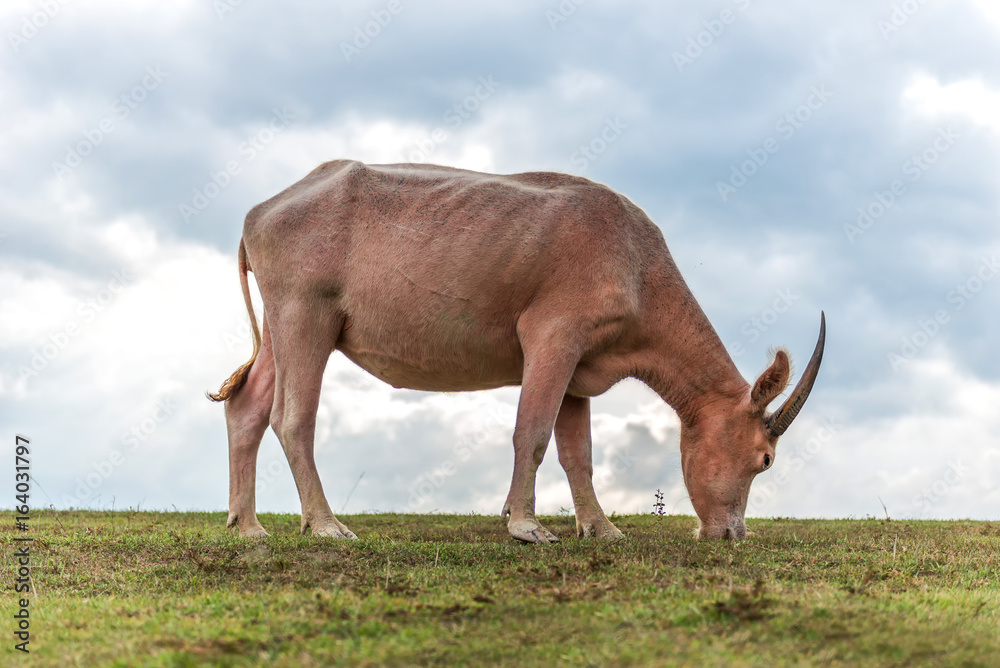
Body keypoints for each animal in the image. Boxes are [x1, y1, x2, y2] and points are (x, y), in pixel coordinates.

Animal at [207, 160, 824, 544]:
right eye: (765, 459)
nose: (731, 534)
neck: (635, 260)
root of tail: (263, 211)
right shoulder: (554, 335)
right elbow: (533, 433)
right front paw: (525, 525)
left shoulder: (581, 365)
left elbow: (579, 453)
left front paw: (601, 528)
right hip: (305, 313)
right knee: (292, 416)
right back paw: (325, 524)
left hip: (284, 326)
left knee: (248, 407)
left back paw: (248, 525)